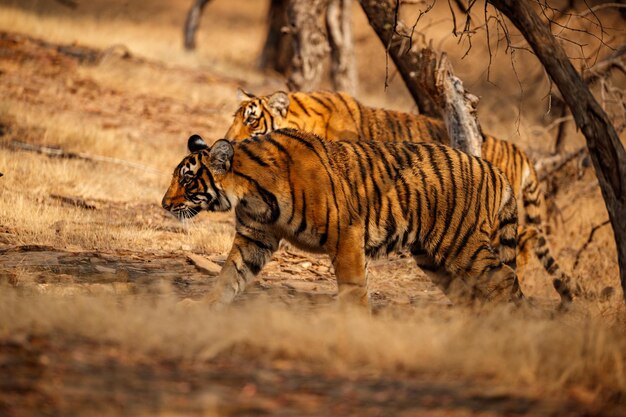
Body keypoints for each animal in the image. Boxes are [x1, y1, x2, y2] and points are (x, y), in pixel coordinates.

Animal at [162, 130, 520, 308]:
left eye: (188, 180)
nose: (165, 204)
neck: (251, 192)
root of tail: (497, 171)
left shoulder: (346, 234)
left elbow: (353, 287)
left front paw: (358, 325)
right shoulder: (255, 237)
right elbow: (229, 275)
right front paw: (204, 306)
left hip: (461, 245)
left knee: (506, 279)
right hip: (434, 258)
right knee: (475, 292)